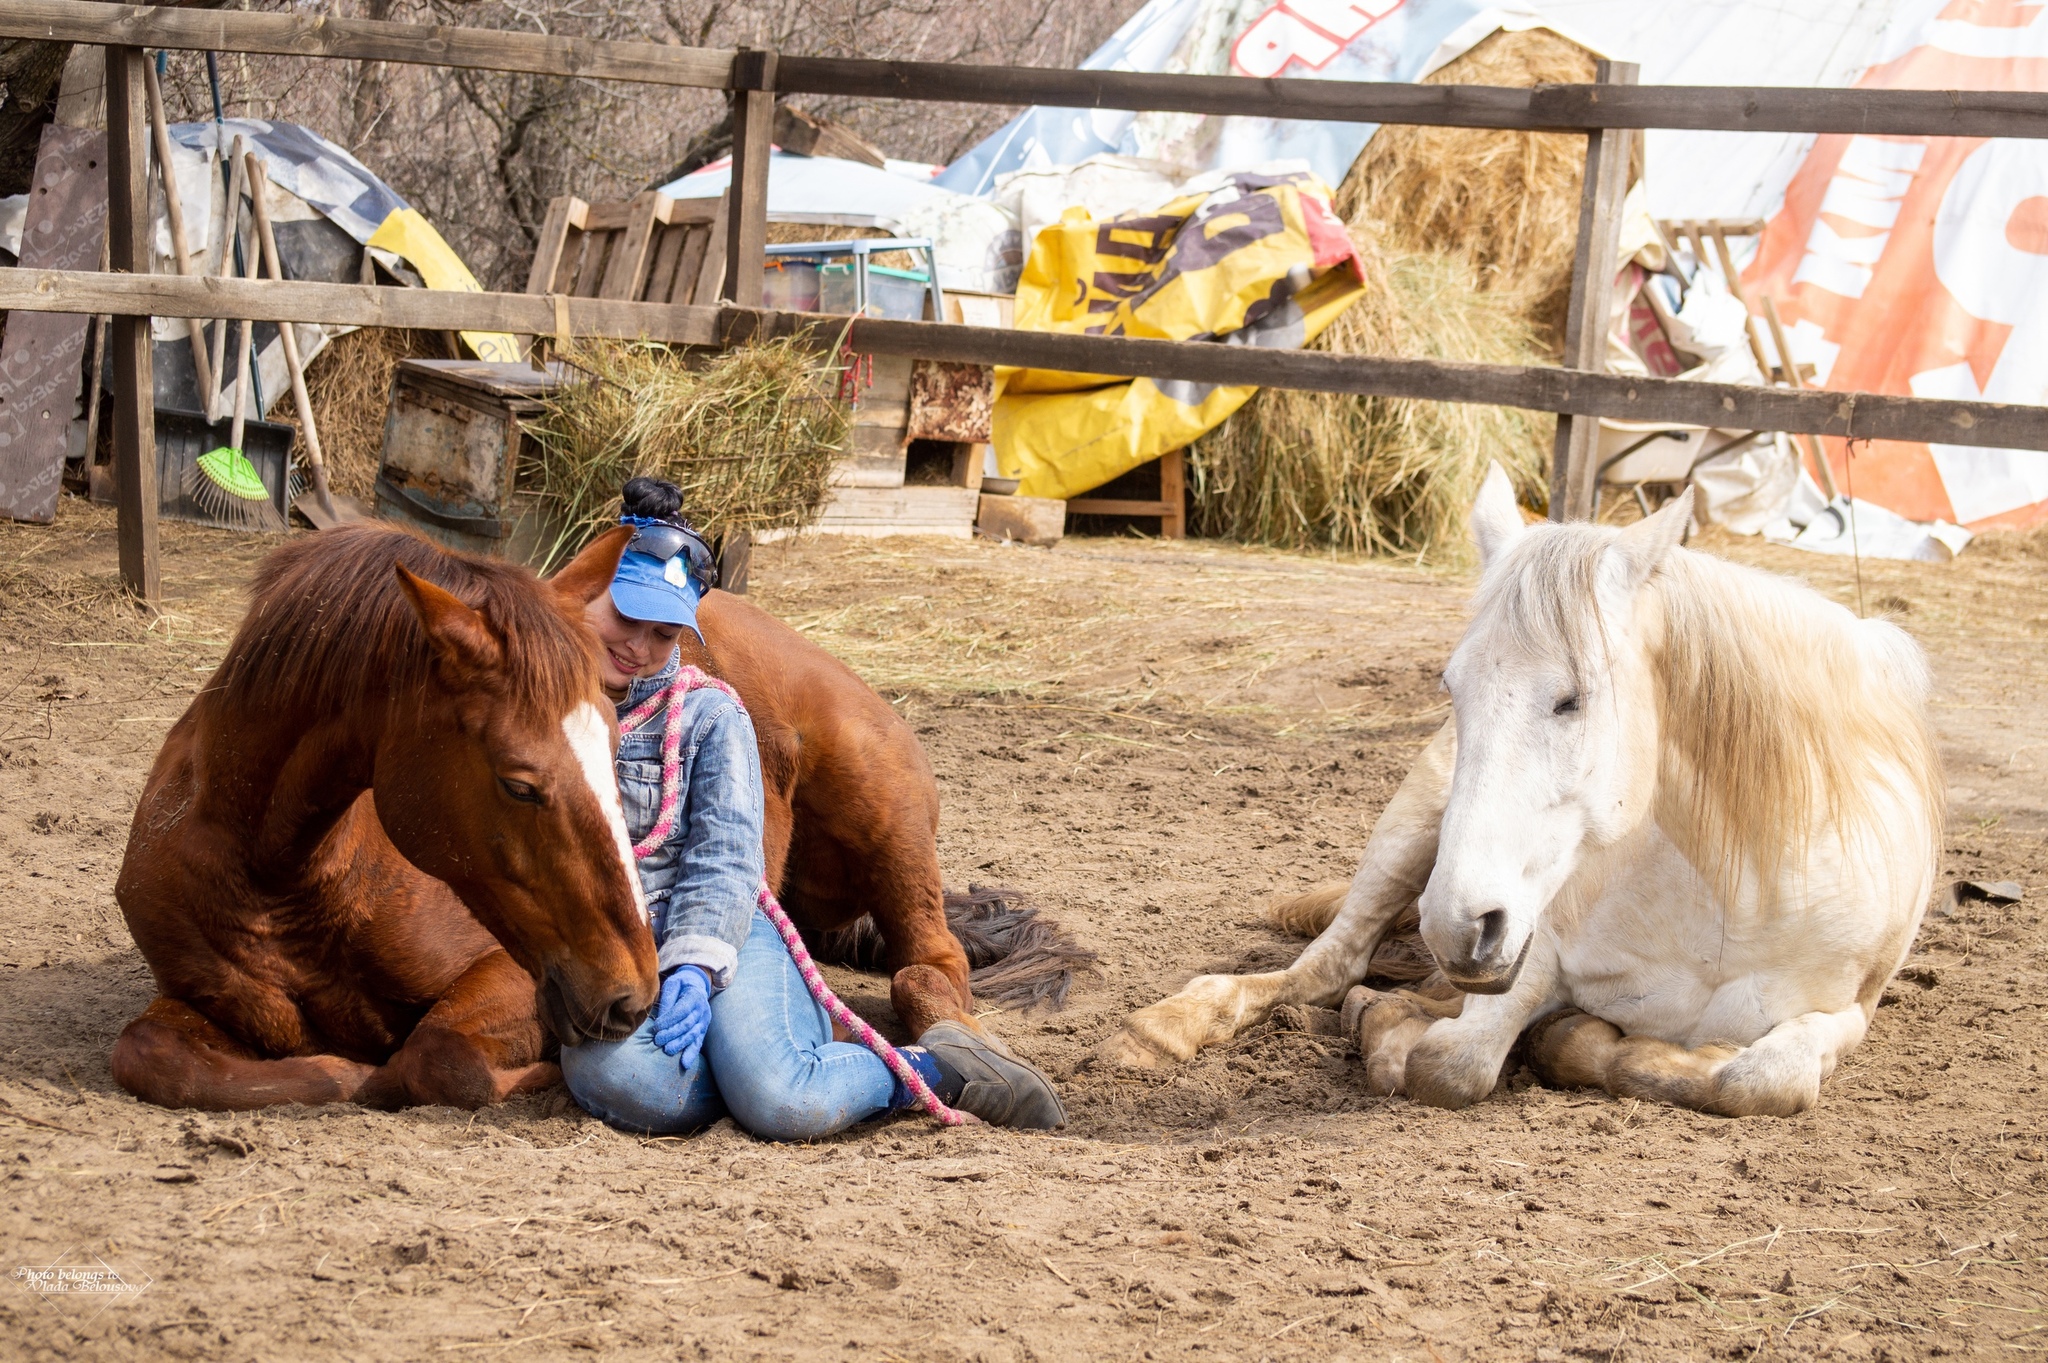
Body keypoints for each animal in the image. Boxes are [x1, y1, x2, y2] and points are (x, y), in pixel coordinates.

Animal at [114, 523, 655, 1113]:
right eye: (519, 786)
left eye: (616, 744)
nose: (635, 992)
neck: (278, 884)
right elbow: (151, 1054)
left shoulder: (504, 962)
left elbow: (435, 1055)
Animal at [1097, 466, 1941, 1113]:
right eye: (1452, 686)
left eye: (1572, 698)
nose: (1460, 922)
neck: (1722, 901)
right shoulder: (1530, 957)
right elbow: (1445, 1061)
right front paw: (1405, 1025)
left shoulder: (1843, 1012)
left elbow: (1759, 1078)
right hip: (1412, 838)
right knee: (1326, 966)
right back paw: (1168, 1026)